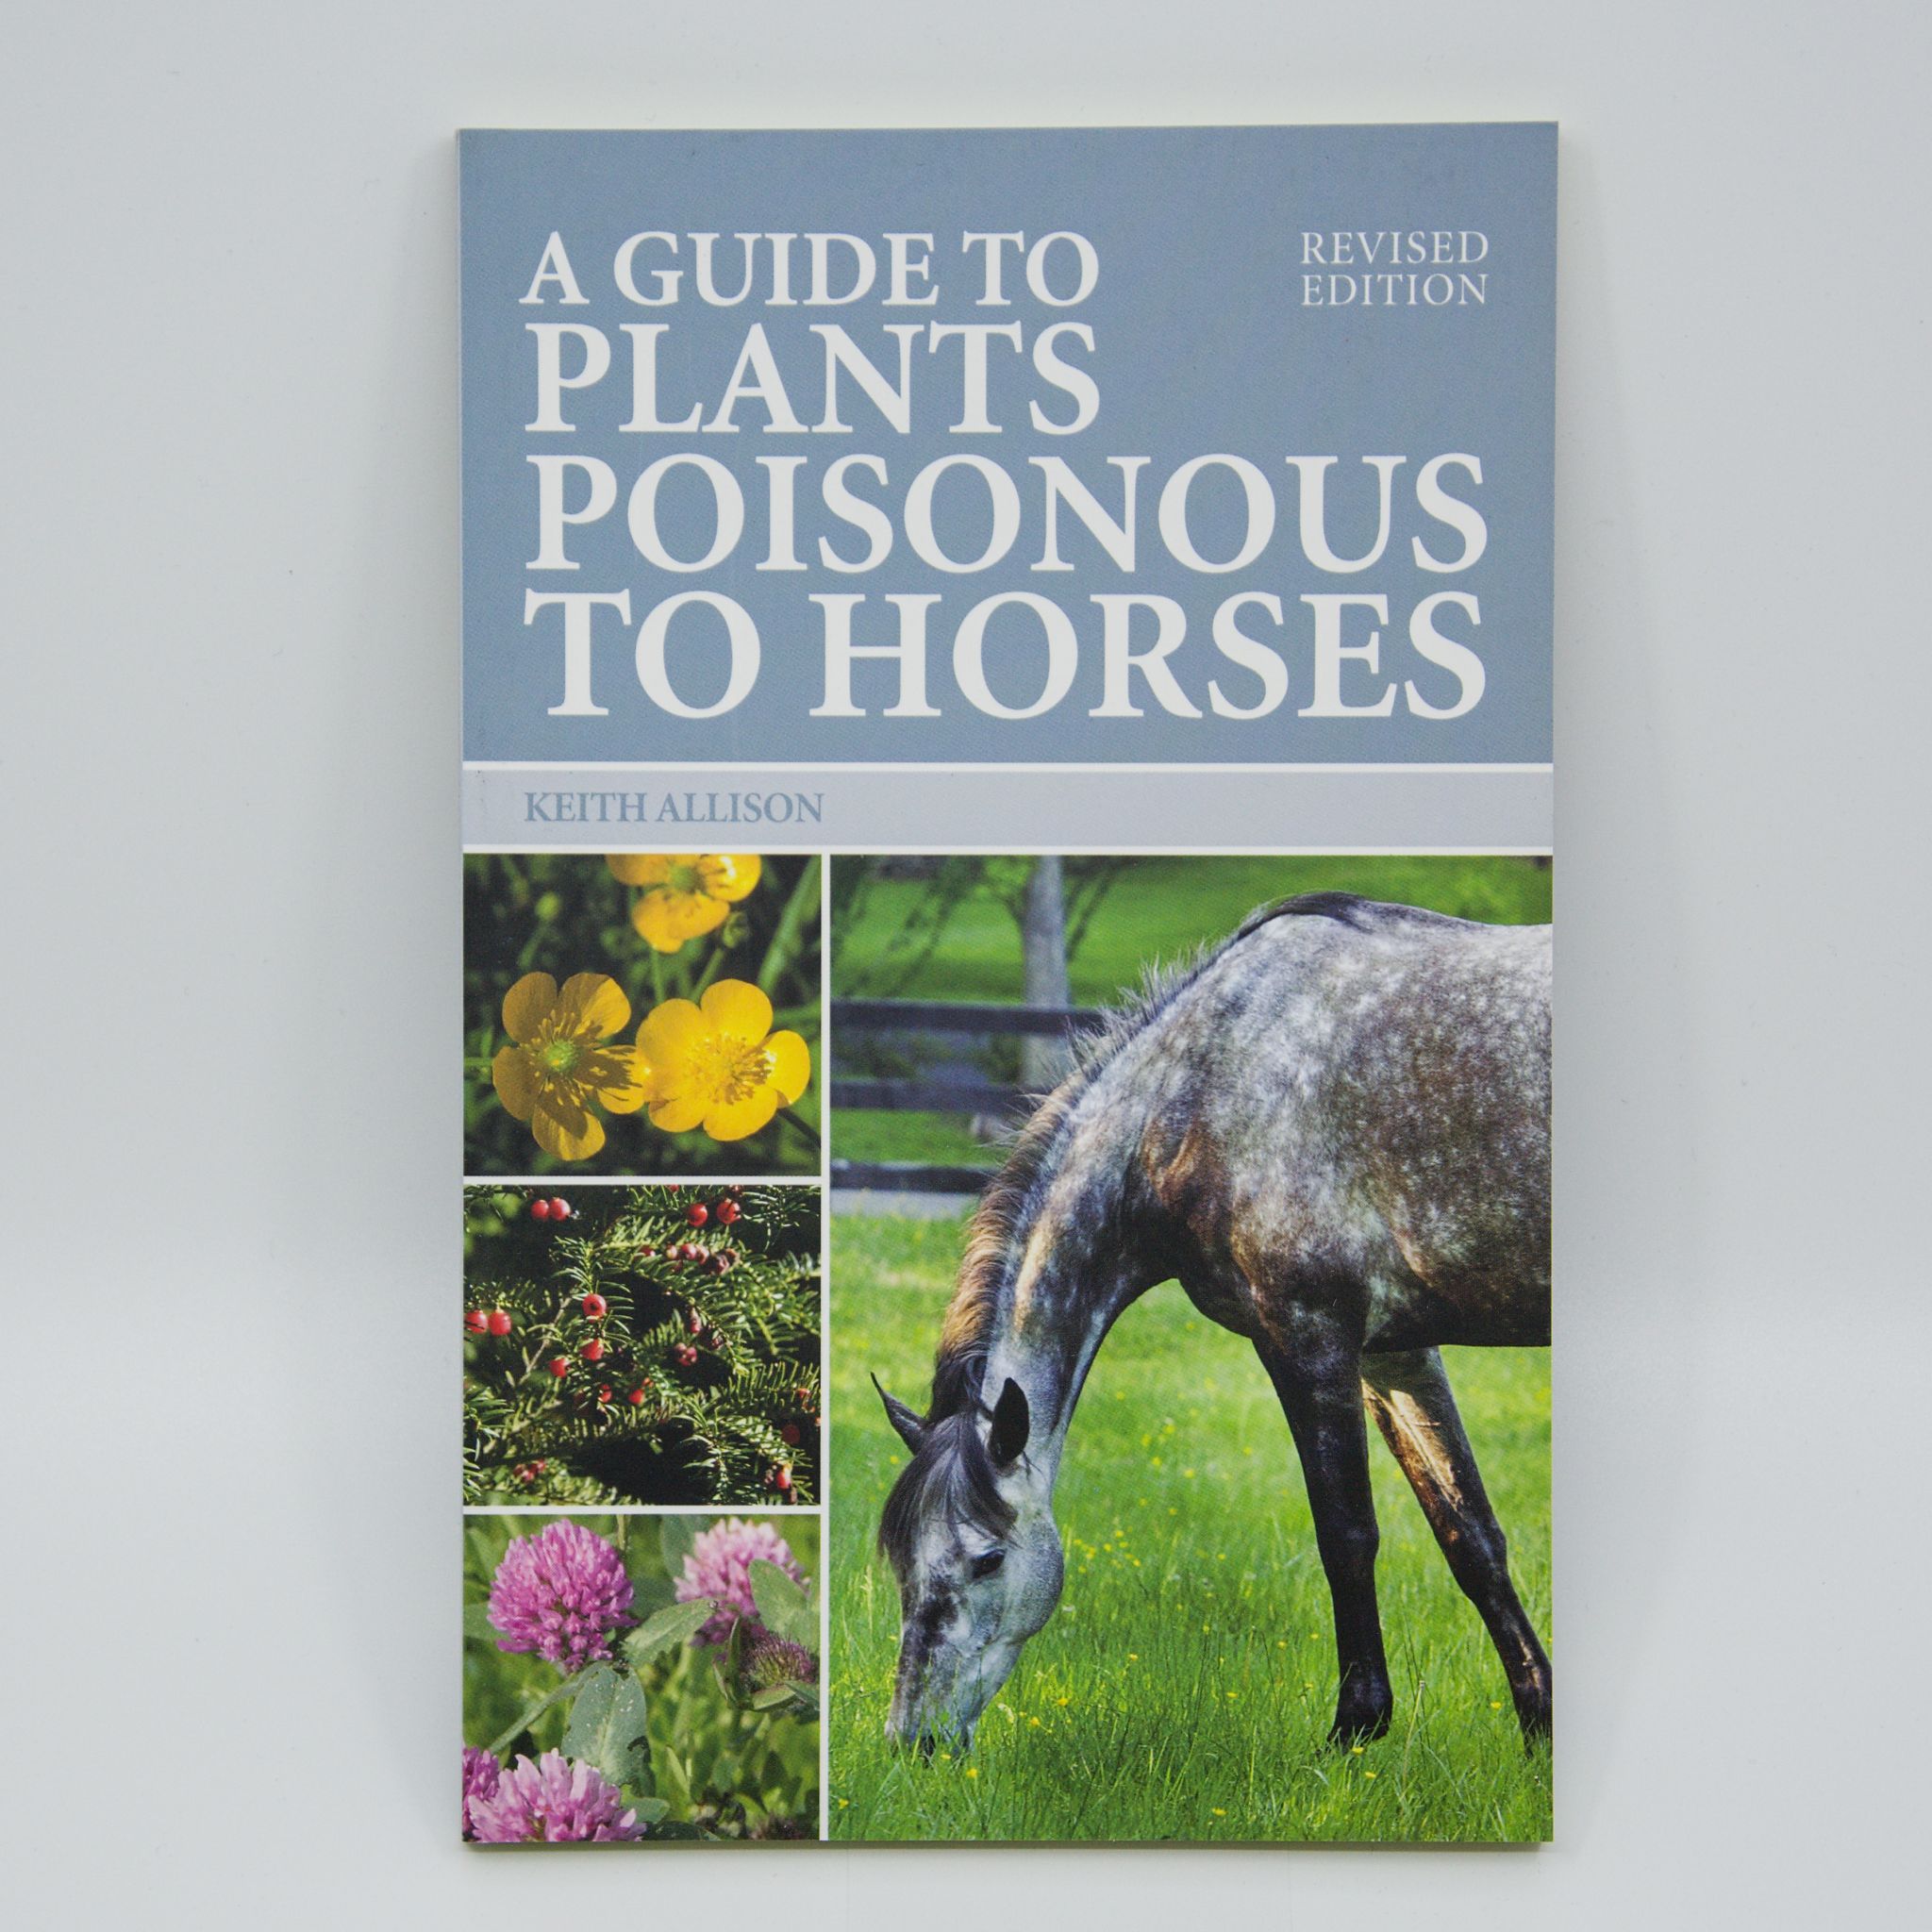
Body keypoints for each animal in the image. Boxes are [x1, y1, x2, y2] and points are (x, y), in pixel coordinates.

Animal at [873, 891, 1552, 1756]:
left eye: (986, 1561)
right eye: (904, 1565)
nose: (911, 1742)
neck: (1203, 1086)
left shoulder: (1308, 1336)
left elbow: (1347, 1535)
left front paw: (1356, 1726)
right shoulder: (1392, 1356)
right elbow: (1470, 1534)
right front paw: (1540, 1726)